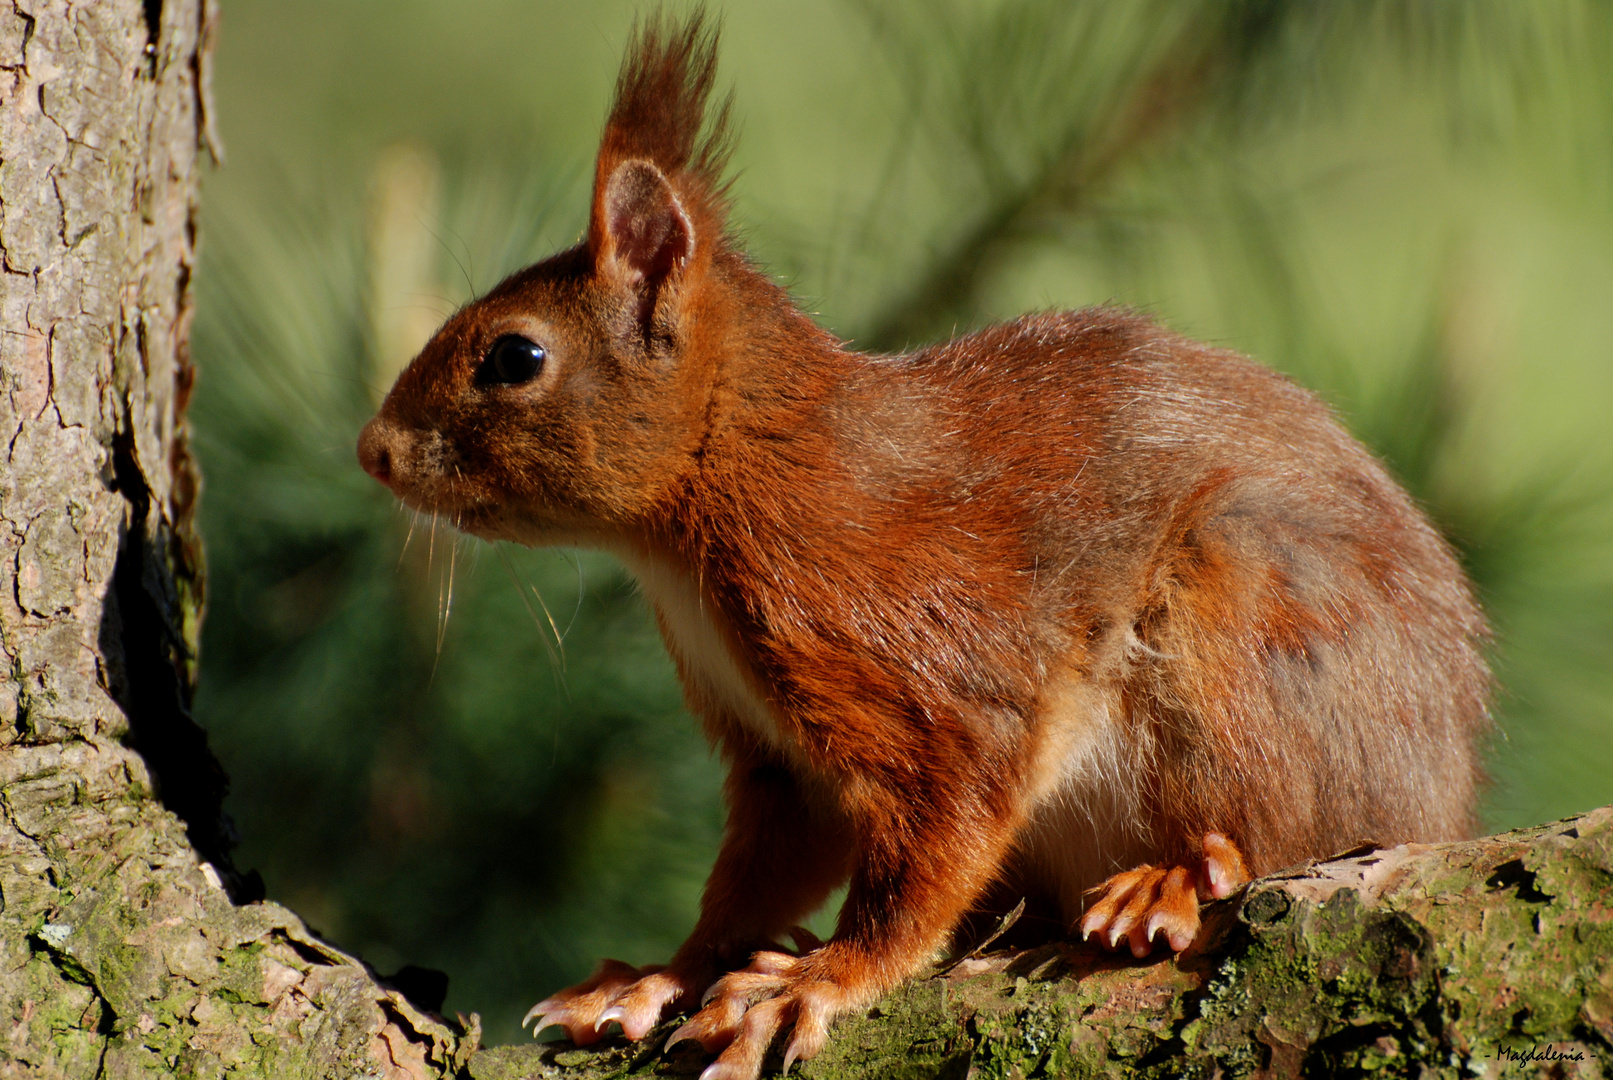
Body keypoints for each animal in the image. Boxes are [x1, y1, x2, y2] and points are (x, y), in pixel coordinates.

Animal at [359, 14, 1490, 1080]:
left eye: (514, 357)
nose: (372, 451)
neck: (718, 497)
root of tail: (1441, 797)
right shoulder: (775, 754)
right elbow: (756, 876)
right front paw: (657, 976)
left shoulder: (916, 664)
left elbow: (929, 849)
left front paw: (817, 979)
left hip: (1247, 613)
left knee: (1271, 818)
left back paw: (1177, 872)